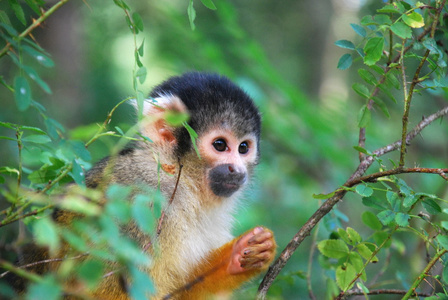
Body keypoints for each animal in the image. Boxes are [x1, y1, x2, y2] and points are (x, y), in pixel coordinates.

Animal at [14, 72, 274, 298]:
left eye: (243, 148)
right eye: (220, 145)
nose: (236, 170)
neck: (181, 180)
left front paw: (237, 258)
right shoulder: (144, 206)